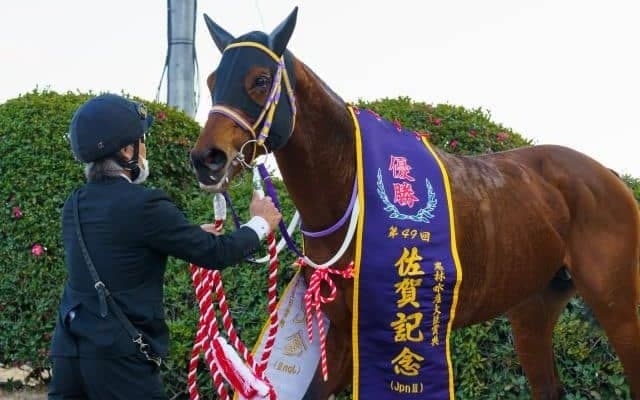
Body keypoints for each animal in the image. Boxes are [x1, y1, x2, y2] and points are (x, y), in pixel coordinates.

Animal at [189, 8, 640, 400]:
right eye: (212, 81)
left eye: (260, 79)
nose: (207, 159)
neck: (351, 196)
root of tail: (608, 175)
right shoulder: (341, 333)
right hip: (533, 304)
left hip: (617, 303)